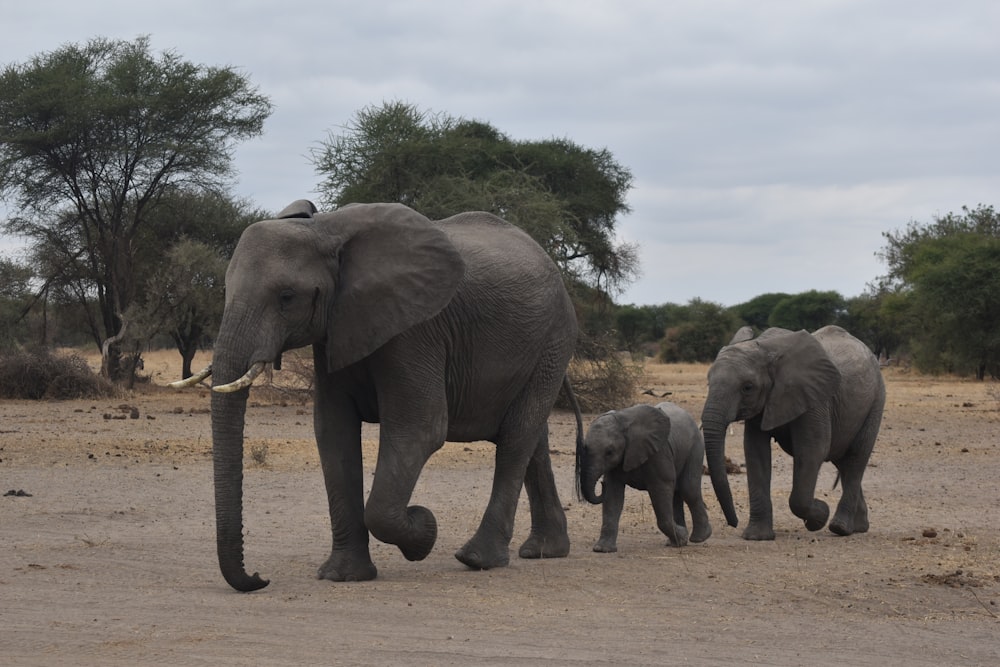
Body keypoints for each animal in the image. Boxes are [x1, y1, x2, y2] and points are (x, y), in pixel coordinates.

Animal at [173, 198, 580, 588]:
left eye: (287, 297)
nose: (259, 579)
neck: (325, 229)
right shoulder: (334, 330)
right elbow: (333, 432)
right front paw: (342, 576)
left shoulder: (415, 331)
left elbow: (420, 429)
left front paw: (424, 530)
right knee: (533, 439)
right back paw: (544, 551)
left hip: (554, 339)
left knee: (516, 438)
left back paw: (477, 559)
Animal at [580, 402, 712, 552]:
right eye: (584, 448)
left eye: (609, 452)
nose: (602, 484)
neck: (623, 422)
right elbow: (613, 496)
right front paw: (603, 549)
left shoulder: (659, 452)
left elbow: (661, 489)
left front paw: (683, 535)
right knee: (676, 494)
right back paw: (675, 542)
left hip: (695, 447)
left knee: (688, 490)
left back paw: (699, 538)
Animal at [700, 326, 888, 540]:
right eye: (708, 383)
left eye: (747, 387)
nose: (733, 523)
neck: (765, 348)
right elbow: (755, 452)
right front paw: (757, 537)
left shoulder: (814, 398)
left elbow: (812, 450)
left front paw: (819, 515)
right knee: (843, 462)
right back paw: (859, 527)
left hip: (876, 401)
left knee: (856, 457)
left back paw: (840, 528)